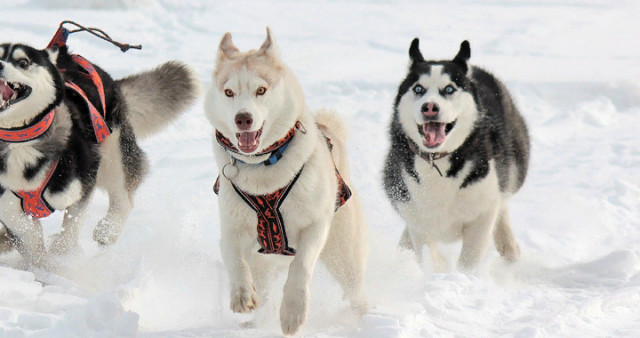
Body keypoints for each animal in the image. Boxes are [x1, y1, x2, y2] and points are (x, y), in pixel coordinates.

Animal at [0, 39, 198, 266]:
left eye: (23, 62)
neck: (20, 143)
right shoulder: (8, 206)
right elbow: (30, 241)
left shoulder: (82, 185)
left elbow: (69, 232)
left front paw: (63, 260)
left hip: (112, 154)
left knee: (123, 195)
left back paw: (109, 229)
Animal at [205, 29, 364, 336]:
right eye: (229, 92)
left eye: (261, 90)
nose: (243, 119)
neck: (264, 167)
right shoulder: (231, 228)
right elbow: (235, 260)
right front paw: (241, 295)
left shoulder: (315, 225)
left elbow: (301, 267)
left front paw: (293, 311)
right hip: (264, 264)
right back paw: (254, 323)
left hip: (342, 254)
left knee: (355, 290)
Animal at [384, 39, 528, 270]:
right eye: (418, 89)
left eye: (449, 89)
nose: (429, 107)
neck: (437, 159)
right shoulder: (414, 208)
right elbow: (426, 247)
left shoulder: (483, 209)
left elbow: (470, 258)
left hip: (515, 163)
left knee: (504, 198)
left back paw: (508, 246)